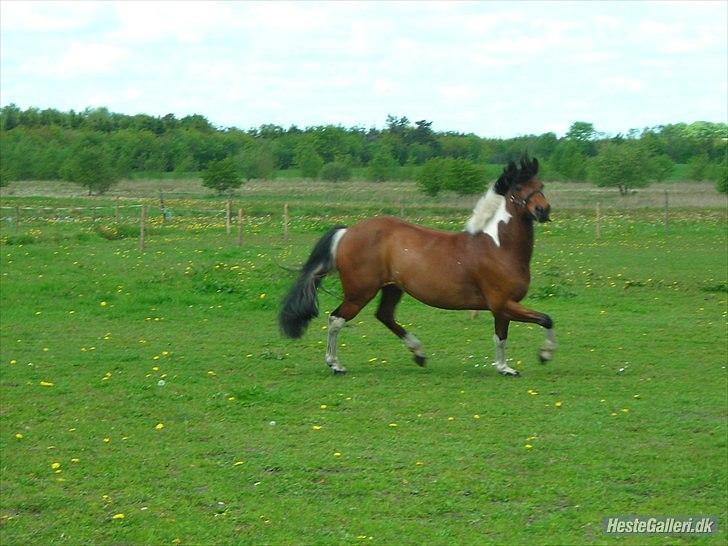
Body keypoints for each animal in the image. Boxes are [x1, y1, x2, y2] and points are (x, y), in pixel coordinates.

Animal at [278, 153, 556, 374]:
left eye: (540, 185)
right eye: (518, 188)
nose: (543, 210)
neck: (497, 247)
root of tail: (347, 232)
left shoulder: (502, 306)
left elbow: (501, 336)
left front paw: (505, 368)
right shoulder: (502, 302)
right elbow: (546, 319)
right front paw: (545, 354)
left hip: (391, 288)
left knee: (384, 316)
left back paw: (419, 353)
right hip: (360, 292)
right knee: (336, 319)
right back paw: (335, 364)